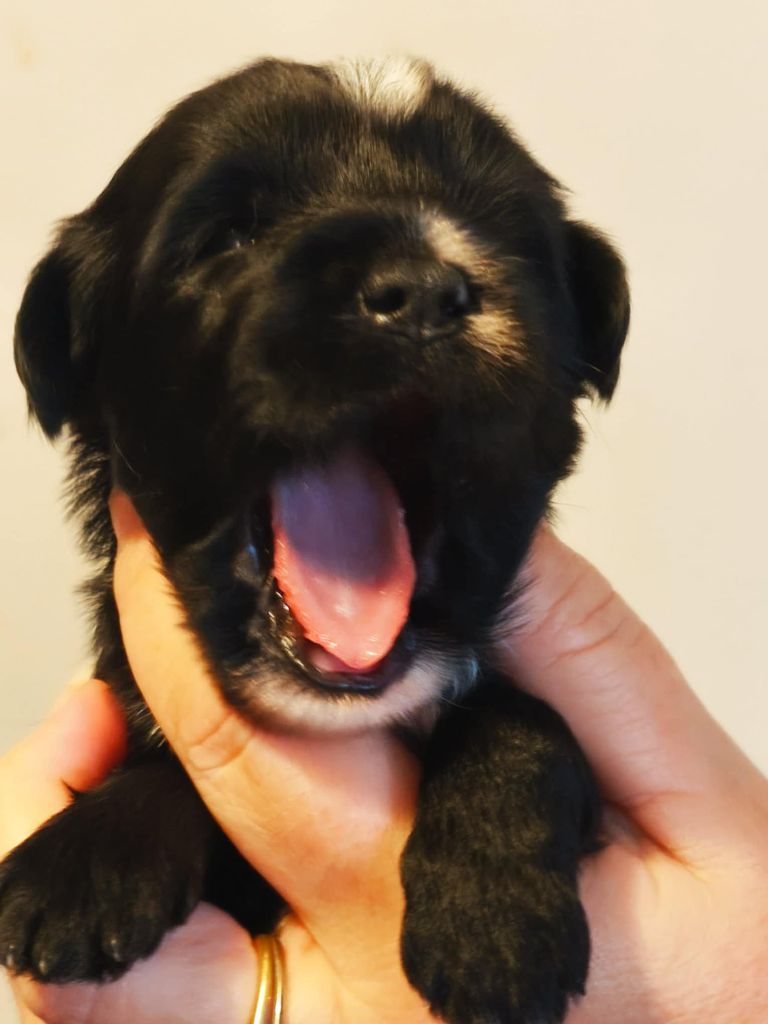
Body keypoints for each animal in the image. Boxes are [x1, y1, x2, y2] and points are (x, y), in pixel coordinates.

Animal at [4, 58, 630, 1024]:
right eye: (228, 236)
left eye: (509, 239)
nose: (424, 288)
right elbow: (162, 761)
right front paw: (87, 860)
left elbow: (521, 720)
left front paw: (492, 918)